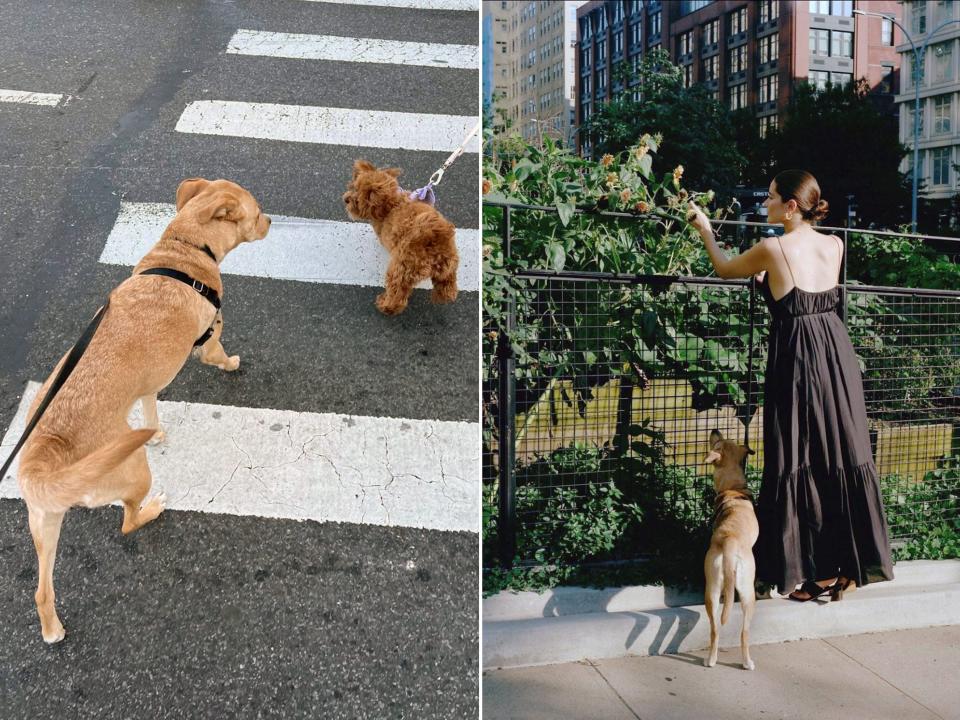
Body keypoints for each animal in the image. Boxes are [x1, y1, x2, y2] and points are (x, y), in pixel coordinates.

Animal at [16, 177, 270, 644]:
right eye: (257, 212)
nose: (273, 221)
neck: (185, 247)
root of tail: (45, 452)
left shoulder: (150, 385)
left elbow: (151, 405)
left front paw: (158, 429)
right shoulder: (209, 341)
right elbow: (220, 357)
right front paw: (233, 364)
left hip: (44, 522)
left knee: (42, 590)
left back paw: (52, 628)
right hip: (133, 471)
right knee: (128, 522)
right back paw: (153, 508)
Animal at [344, 160, 460, 316]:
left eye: (357, 198)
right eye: (353, 187)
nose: (346, 199)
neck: (393, 204)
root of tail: (435, 237)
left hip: (401, 269)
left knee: (397, 296)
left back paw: (385, 305)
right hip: (448, 267)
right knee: (449, 289)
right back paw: (440, 297)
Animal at [700, 428, 760, 668]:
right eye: (718, 442)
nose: (715, 429)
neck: (733, 489)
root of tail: (729, 540)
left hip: (712, 589)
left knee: (715, 629)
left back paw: (711, 660)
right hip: (748, 592)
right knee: (745, 632)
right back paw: (747, 662)